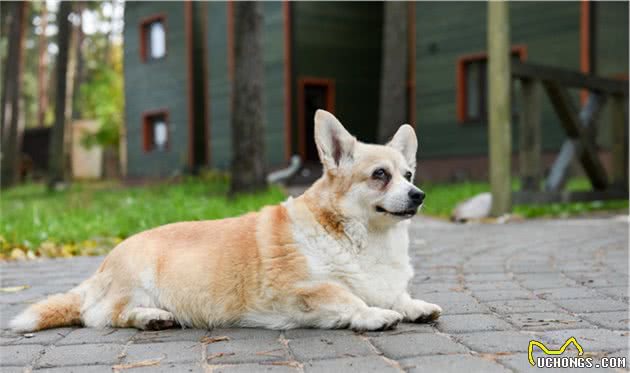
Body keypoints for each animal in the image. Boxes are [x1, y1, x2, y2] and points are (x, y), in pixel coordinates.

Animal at [9, 109, 444, 332]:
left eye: (408, 174)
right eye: (379, 175)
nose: (419, 195)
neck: (366, 239)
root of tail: (99, 269)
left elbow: (397, 295)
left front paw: (413, 306)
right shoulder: (303, 290)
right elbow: (347, 297)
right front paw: (374, 315)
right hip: (134, 283)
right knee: (102, 315)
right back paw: (150, 317)